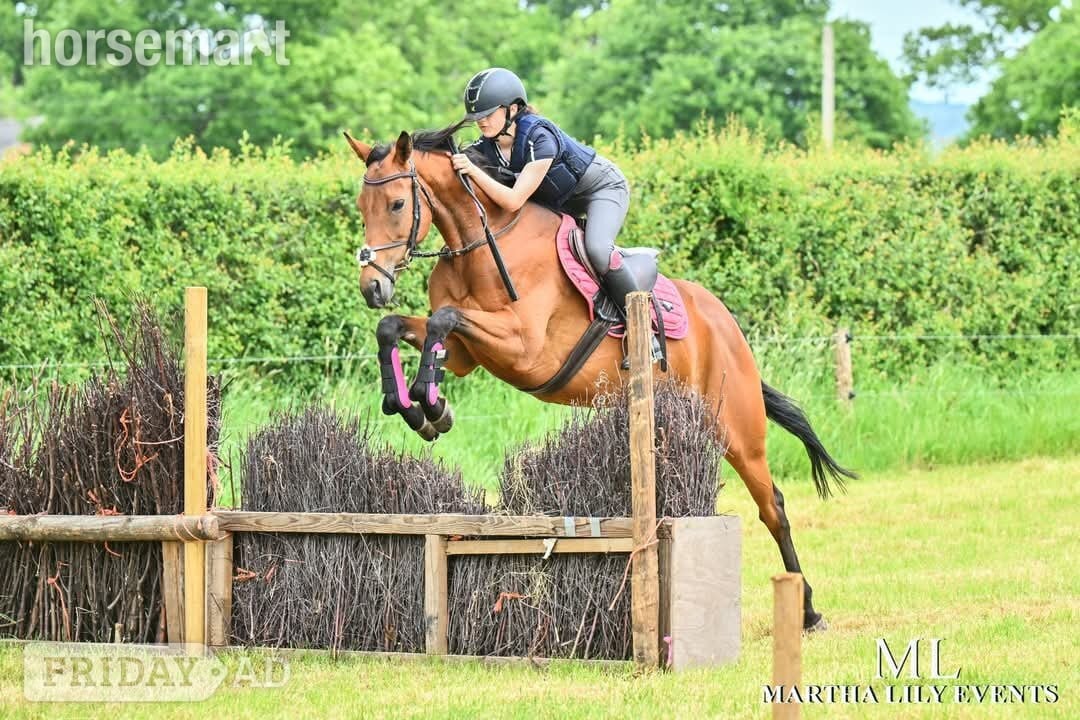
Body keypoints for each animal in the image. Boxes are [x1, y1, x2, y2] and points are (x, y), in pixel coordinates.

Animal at [344, 127, 855, 631]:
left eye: (396, 204)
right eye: (361, 207)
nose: (373, 286)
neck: (480, 245)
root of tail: (727, 325)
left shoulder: (523, 348)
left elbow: (443, 319)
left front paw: (429, 406)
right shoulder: (468, 355)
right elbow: (397, 327)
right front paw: (417, 408)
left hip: (737, 430)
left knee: (774, 507)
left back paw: (809, 612)